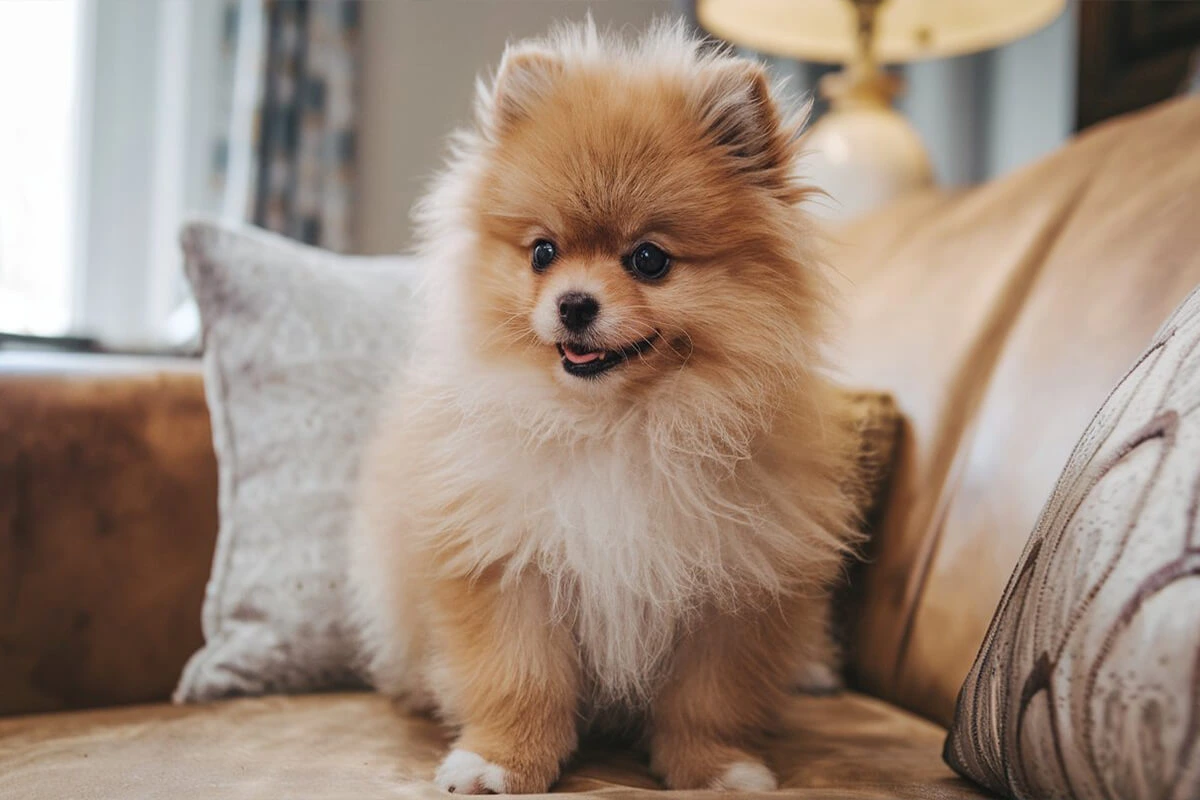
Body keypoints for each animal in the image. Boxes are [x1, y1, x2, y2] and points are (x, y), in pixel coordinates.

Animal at [348, 18, 864, 796]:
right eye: (542, 252)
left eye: (649, 259)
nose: (574, 303)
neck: (619, 424)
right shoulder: (510, 564)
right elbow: (518, 679)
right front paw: (500, 761)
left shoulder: (729, 589)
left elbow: (709, 699)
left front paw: (714, 768)